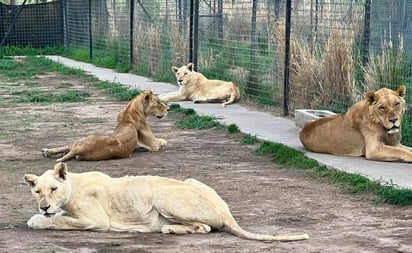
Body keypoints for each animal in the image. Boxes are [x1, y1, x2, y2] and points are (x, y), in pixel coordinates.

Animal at [24, 163, 308, 242]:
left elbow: (60, 221)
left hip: (162, 196)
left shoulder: (97, 221)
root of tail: (227, 213)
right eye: (37, 191)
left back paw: (168, 229)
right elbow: (60, 217)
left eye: (53, 189)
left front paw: (38, 219)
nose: (43, 206)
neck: (72, 185)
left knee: (205, 228)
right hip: (191, 180)